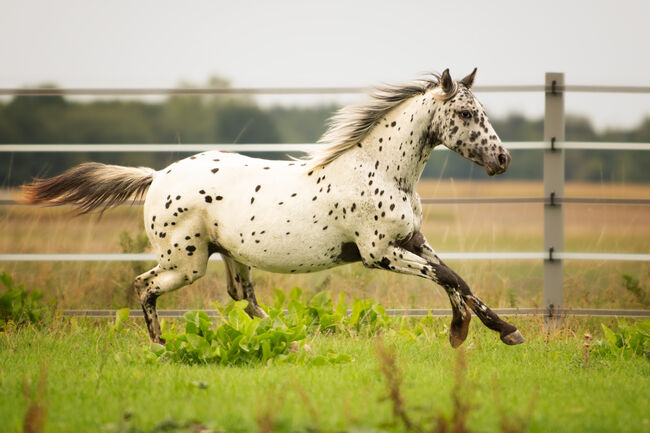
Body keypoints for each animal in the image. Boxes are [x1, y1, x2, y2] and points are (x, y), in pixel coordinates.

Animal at [22, 69, 524, 350]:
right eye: (465, 114)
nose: (502, 160)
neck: (380, 170)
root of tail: (157, 176)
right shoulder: (379, 253)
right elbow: (448, 278)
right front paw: (464, 332)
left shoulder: (412, 240)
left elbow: (458, 280)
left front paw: (498, 330)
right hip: (185, 263)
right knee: (145, 285)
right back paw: (160, 346)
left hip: (231, 257)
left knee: (244, 301)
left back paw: (295, 342)